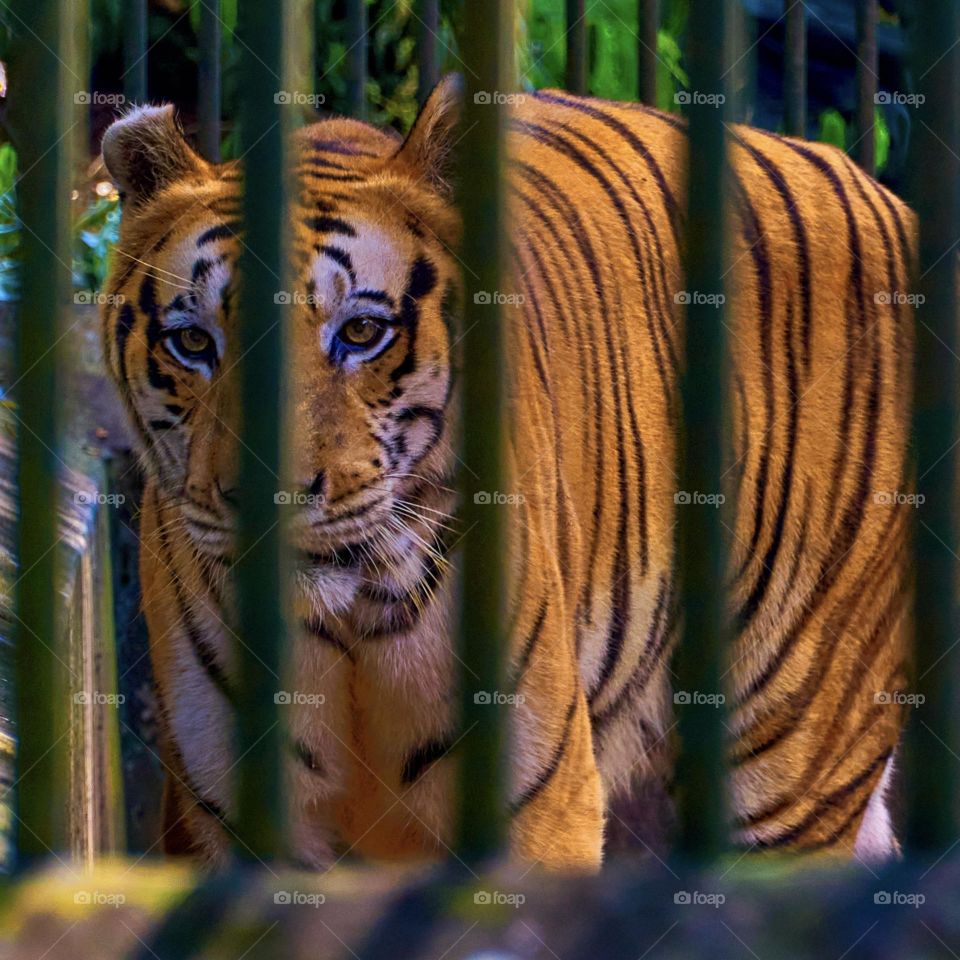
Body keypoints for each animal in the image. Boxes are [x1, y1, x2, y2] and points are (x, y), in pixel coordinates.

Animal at [99, 75, 916, 872]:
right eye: (193, 342)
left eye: (360, 332)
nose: (263, 500)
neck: (349, 627)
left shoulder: (543, 811)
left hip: (795, 757)